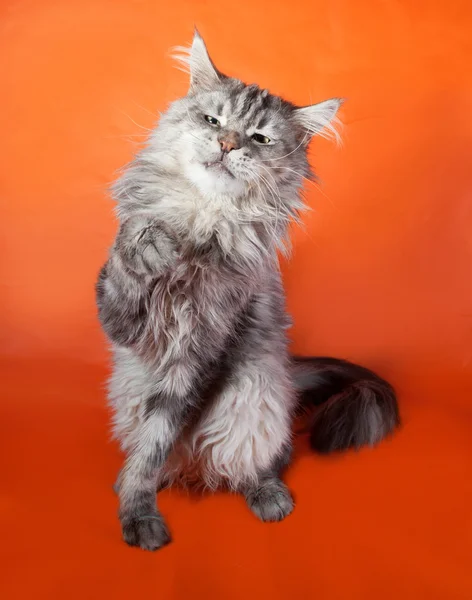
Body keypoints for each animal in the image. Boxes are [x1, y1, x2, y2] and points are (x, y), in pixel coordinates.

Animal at [96, 30, 398, 552]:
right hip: (132, 387)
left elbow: (157, 439)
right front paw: (150, 243)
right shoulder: (121, 319)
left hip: (255, 397)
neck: (202, 218)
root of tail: (290, 374)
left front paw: (139, 513)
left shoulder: (200, 347)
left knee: (263, 458)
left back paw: (268, 494)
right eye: (212, 120)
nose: (225, 142)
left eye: (259, 138)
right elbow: (128, 254)